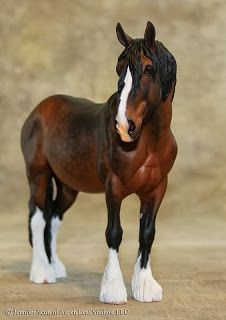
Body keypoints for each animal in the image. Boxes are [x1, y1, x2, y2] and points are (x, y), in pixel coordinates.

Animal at [20, 21, 177, 304]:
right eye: (119, 68)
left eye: (149, 68)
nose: (124, 126)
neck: (148, 143)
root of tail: (38, 110)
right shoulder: (113, 188)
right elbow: (114, 233)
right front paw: (113, 289)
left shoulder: (157, 189)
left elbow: (147, 233)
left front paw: (145, 286)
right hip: (38, 176)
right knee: (38, 217)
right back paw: (42, 272)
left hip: (68, 187)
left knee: (54, 217)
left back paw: (55, 266)